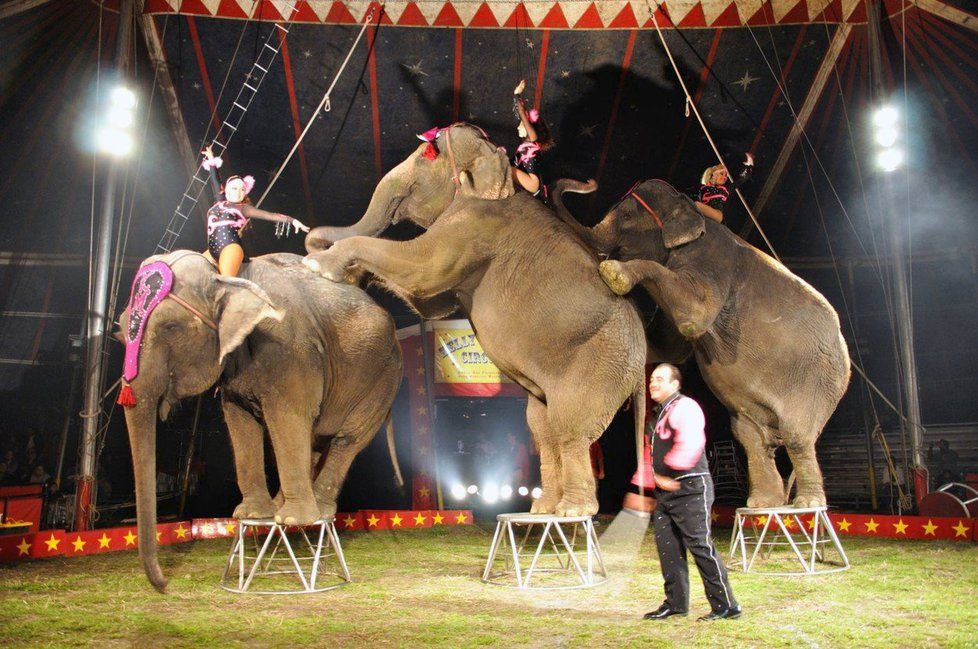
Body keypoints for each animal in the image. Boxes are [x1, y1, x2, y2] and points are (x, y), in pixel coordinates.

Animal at [117, 251, 400, 588]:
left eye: (171, 327)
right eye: (120, 329)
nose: (164, 585)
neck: (227, 278)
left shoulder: (290, 350)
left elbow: (288, 416)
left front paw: (291, 519)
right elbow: (239, 422)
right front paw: (252, 515)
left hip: (383, 378)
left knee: (347, 439)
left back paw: (317, 511)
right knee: (315, 440)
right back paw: (282, 506)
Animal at [304, 121, 648, 516]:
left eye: (425, 157)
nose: (312, 240)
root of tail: (642, 364)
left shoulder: (474, 223)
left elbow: (423, 269)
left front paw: (317, 266)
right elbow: (431, 302)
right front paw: (345, 273)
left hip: (600, 366)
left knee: (570, 428)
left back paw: (572, 511)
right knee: (543, 428)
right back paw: (542, 510)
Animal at [548, 177, 848, 506]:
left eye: (626, 215)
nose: (588, 183)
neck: (690, 207)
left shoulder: (713, 262)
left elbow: (695, 314)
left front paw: (615, 275)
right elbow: (667, 346)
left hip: (817, 383)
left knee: (797, 436)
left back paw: (806, 503)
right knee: (752, 440)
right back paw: (763, 503)